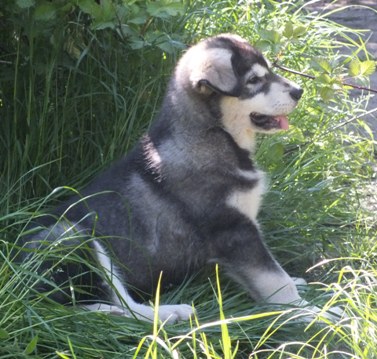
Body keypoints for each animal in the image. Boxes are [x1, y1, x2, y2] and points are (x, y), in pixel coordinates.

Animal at [22, 35, 332, 324]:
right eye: (255, 80)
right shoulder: (233, 230)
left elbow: (273, 276)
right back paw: (172, 312)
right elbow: (275, 279)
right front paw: (312, 312)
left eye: (269, 71)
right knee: (120, 308)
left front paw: (299, 291)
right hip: (69, 237)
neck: (212, 134)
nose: (299, 91)